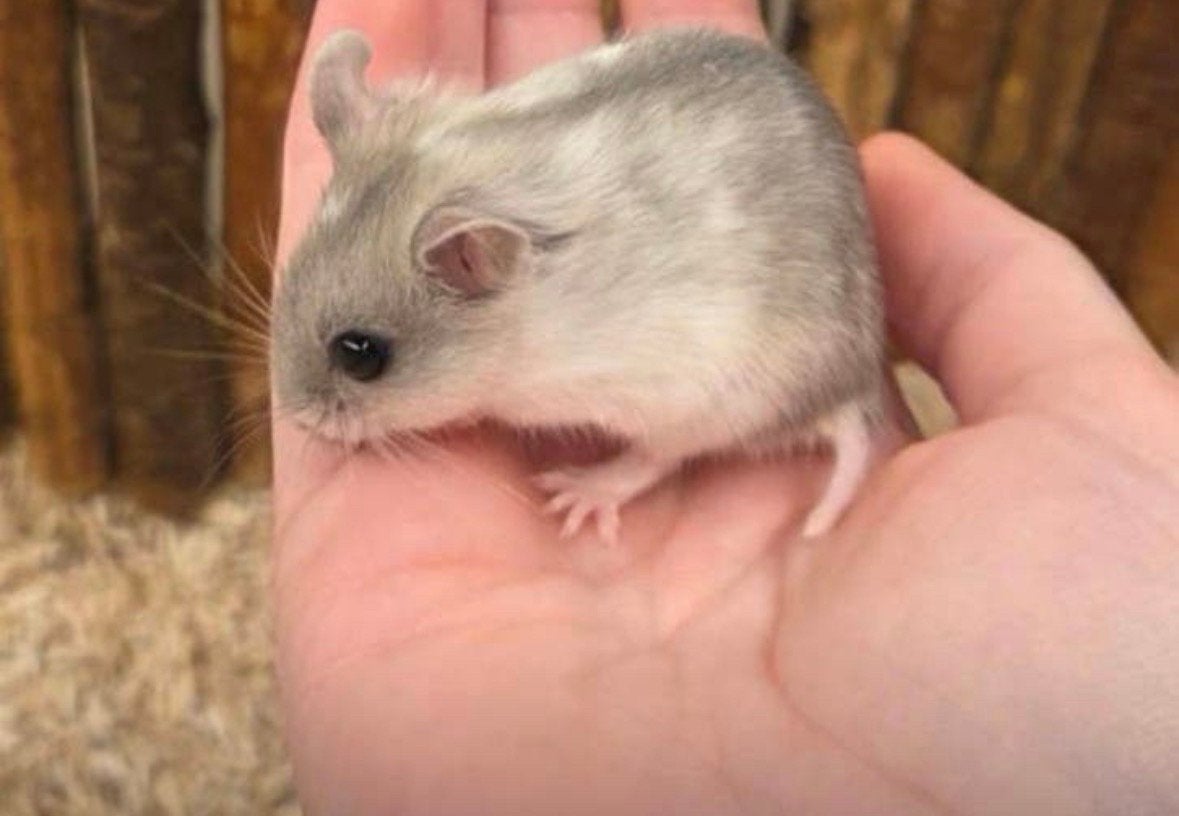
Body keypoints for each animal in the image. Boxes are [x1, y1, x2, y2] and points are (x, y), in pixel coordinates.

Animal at [272, 27, 885, 542]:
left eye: (361, 354)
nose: (298, 419)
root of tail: (850, 384)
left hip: (712, 403)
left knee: (656, 458)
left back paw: (580, 493)